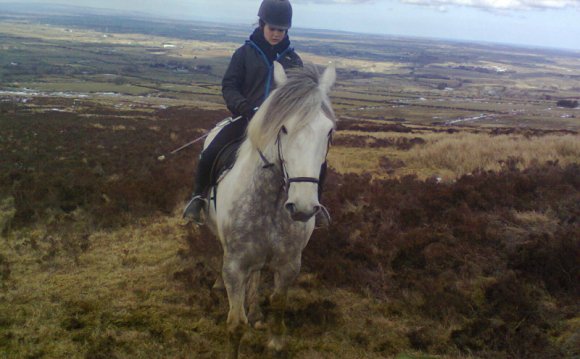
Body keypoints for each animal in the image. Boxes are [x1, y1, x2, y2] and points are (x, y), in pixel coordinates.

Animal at [202, 61, 336, 358]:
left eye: (329, 131)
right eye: (283, 128)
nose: (303, 207)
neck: (270, 201)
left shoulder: (289, 263)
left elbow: (278, 304)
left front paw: (274, 341)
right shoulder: (235, 265)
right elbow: (236, 325)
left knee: (257, 274)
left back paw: (255, 311)